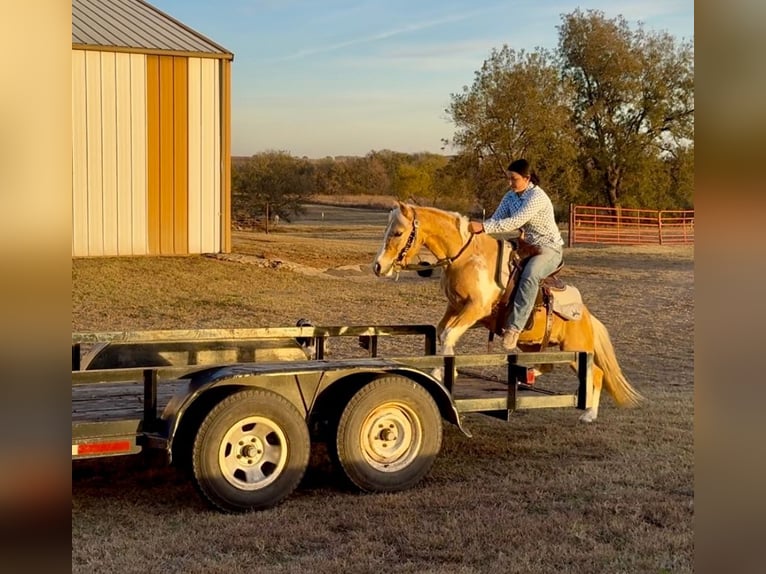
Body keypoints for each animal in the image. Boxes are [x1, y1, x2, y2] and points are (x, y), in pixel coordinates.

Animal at [372, 202, 642, 423]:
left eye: (398, 232)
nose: (378, 266)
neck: (468, 257)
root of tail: (586, 315)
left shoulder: (475, 308)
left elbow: (448, 334)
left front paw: (449, 372)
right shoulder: (455, 307)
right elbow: (442, 332)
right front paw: (440, 370)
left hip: (576, 350)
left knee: (596, 374)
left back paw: (589, 414)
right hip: (533, 344)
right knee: (547, 365)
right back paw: (528, 374)